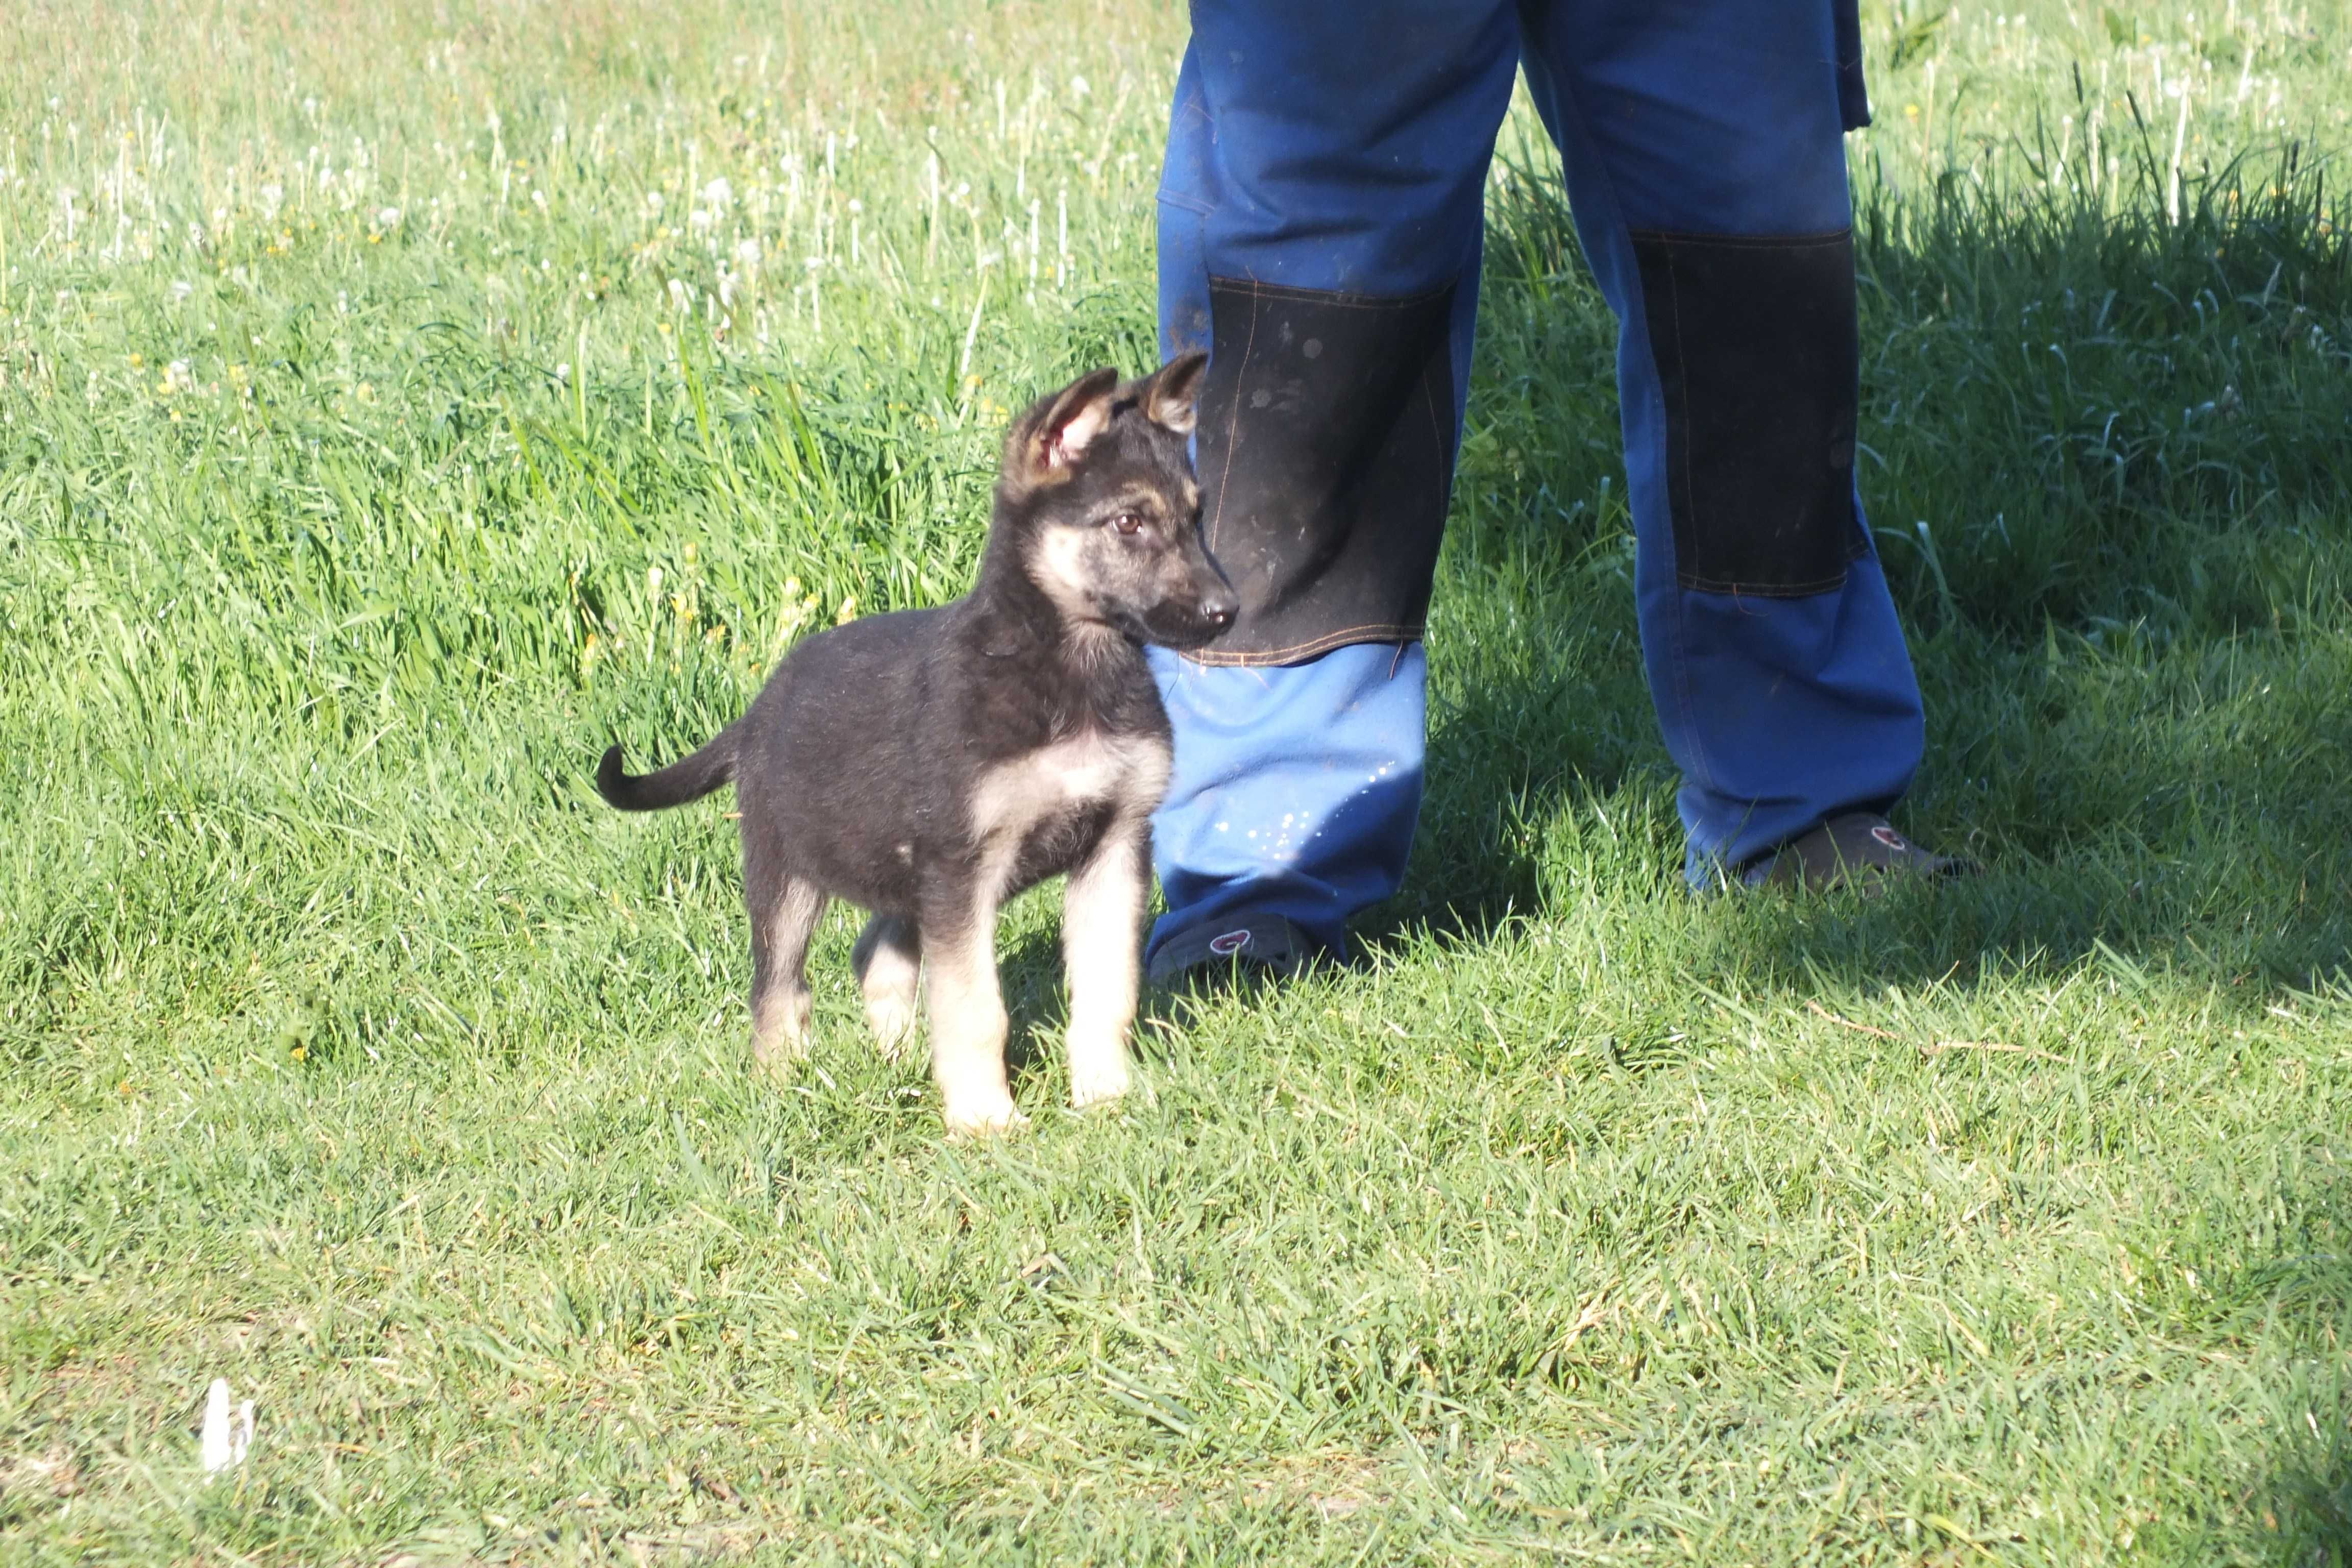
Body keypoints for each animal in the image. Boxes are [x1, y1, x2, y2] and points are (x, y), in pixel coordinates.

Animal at [597, 357, 1242, 1133]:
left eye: (1197, 516)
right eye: (1129, 522)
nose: (1228, 612)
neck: (1070, 668)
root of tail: (759, 709)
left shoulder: (1113, 847)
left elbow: (1106, 991)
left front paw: (1105, 1096)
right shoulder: (961, 868)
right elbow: (974, 1009)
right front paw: (985, 1122)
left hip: (897, 870)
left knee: (875, 954)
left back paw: (898, 1062)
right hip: (789, 871)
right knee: (779, 988)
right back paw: (785, 1086)